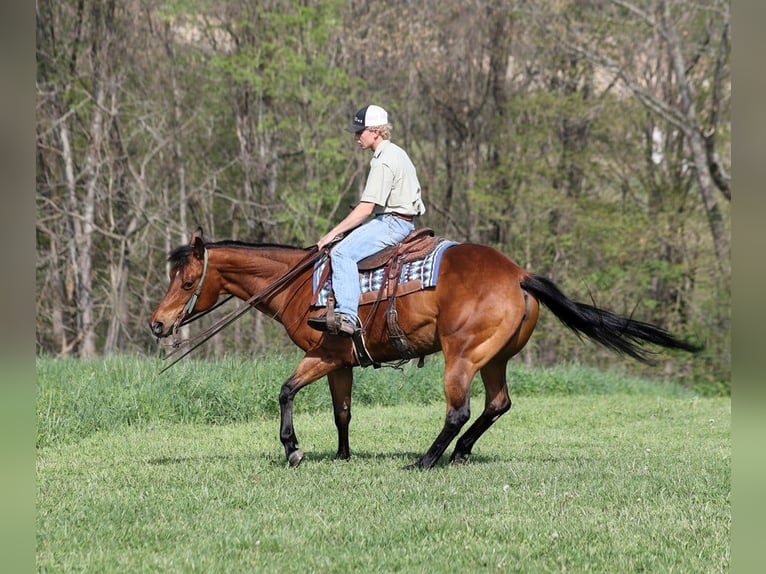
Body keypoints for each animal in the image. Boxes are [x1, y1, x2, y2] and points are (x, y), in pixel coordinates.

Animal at [148, 227, 704, 470]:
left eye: (187, 280)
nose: (157, 324)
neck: (304, 284)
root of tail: (518, 275)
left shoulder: (325, 354)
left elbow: (285, 391)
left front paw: (293, 449)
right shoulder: (342, 362)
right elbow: (342, 411)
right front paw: (342, 456)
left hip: (461, 356)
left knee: (459, 410)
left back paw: (426, 460)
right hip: (494, 358)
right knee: (497, 403)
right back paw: (458, 454)